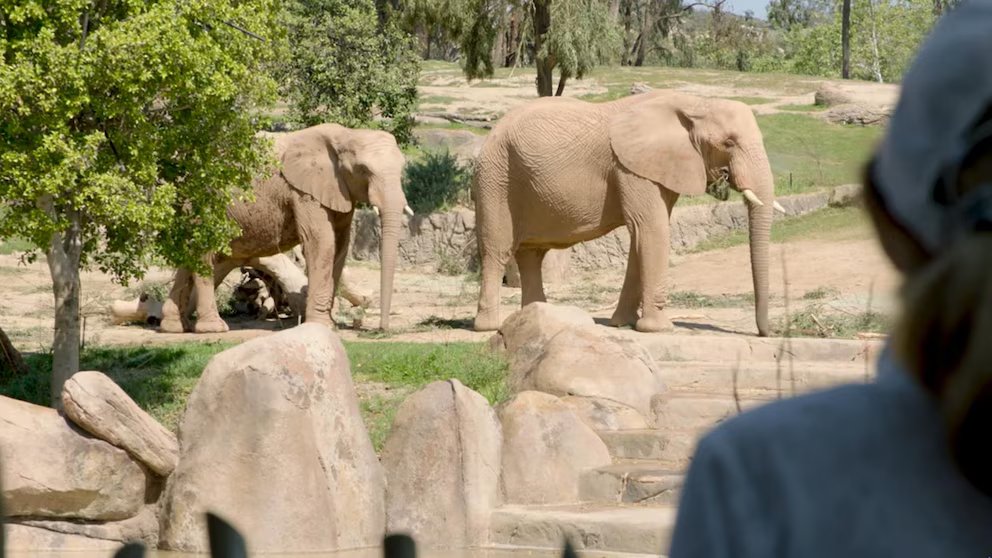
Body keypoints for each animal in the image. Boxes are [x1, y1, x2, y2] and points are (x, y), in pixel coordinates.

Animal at [160, 123, 411, 333]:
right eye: (363, 170)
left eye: (402, 169)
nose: (381, 331)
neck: (347, 134)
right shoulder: (303, 191)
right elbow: (321, 244)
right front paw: (321, 327)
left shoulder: (338, 191)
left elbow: (340, 246)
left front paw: (328, 324)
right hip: (203, 205)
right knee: (204, 255)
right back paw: (212, 329)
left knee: (189, 257)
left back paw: (174, 327)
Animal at [472, 90, 784, 336]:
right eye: (729, 143)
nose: (767, 333)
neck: (695, 102)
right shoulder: (631, 169)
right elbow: (651, 230)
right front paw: (660, 328)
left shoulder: (655, 169)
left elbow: (642, 237)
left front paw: (622, 324)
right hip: (496, 177)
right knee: (497, 250)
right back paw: (488, 326)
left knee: (531, 254)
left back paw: (537, 315)